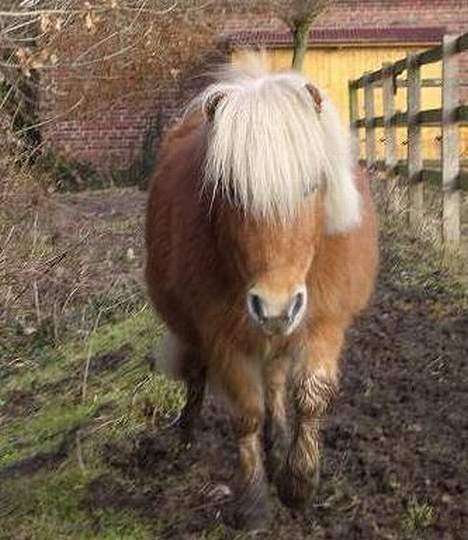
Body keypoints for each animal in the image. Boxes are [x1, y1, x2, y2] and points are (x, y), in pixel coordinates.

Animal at [144, 57, 378, 528]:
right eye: (232, 191)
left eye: (311, 186)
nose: (275, 306)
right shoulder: (223, 334)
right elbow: (247, 413)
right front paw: (252, 502)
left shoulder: (323, 323)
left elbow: (310, 397)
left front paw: (297, 483)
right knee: (198, 374)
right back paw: (187, 433)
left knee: (274, 381)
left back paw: (278, 442)